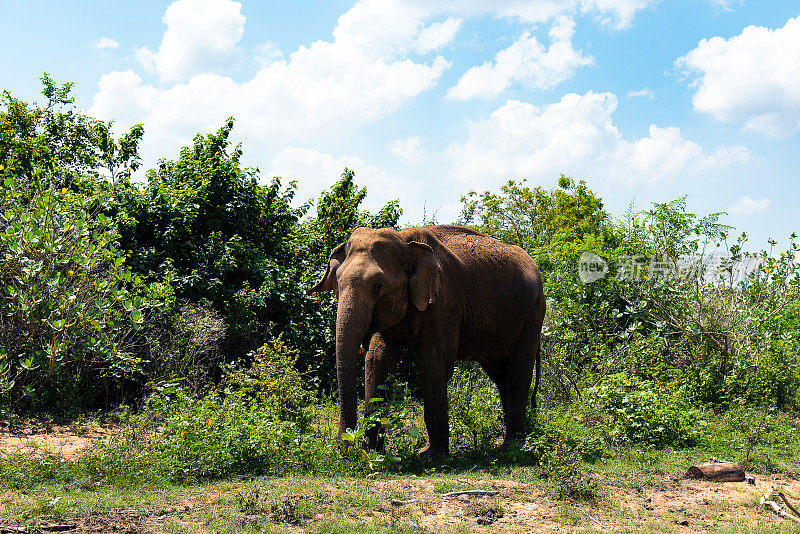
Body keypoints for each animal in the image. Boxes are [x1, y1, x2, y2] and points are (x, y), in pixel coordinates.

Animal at [306, 225, 544, 456]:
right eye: (337, 281)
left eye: (378, 285)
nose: (344, 451)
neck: (406, 241)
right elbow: (378, 360)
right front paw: (372, 453)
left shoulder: (444, 301)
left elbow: (434, 360)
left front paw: (430, 455)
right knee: (501, 375)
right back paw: (504, 442)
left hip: (534, 311)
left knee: (519, 370)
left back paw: (512, 446)